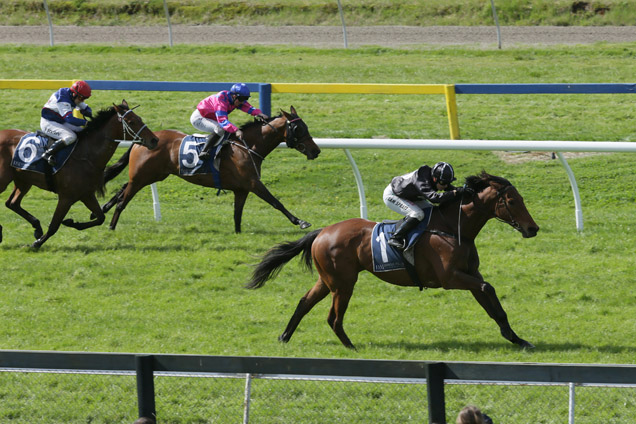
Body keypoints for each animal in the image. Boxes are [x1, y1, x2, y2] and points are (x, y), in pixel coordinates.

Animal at [0, 100, 158, 248]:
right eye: (131, 121)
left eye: (139, 118)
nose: (154, 140)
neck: (86, 156)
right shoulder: (66, 197)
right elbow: (54, 225)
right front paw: (37, 243)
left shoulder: (87, 194)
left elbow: (100, 218)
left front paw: (71, 222)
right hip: (5, 179)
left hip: (23, 180)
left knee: (12, 203)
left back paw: (36, 227)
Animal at [102, 106, 326, 232]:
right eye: (298, 128)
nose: (316, 150)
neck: (247, 147)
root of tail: (143, 139)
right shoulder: (254, 183)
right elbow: (276, 202)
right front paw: (300, 222)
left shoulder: (241, 189)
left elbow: (237, 215)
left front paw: (238, 233)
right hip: (142, 177)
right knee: (123, 199)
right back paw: (112, 225)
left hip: (152, 175)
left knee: (121, 190)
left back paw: (105, 209)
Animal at [248, 171, 540, 350]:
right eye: (512, 201)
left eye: (520, 199)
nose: (533, 228)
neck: (453, 227)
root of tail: (322, 232)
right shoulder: (451, 278)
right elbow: (488, 289)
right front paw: (512, 336)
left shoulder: (470, 275)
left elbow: (490, 300)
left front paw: (516, 338)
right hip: (343, 284)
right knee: (333, 317)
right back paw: (351, 347)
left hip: (328, 279)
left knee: (304, 302)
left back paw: (285, 336)